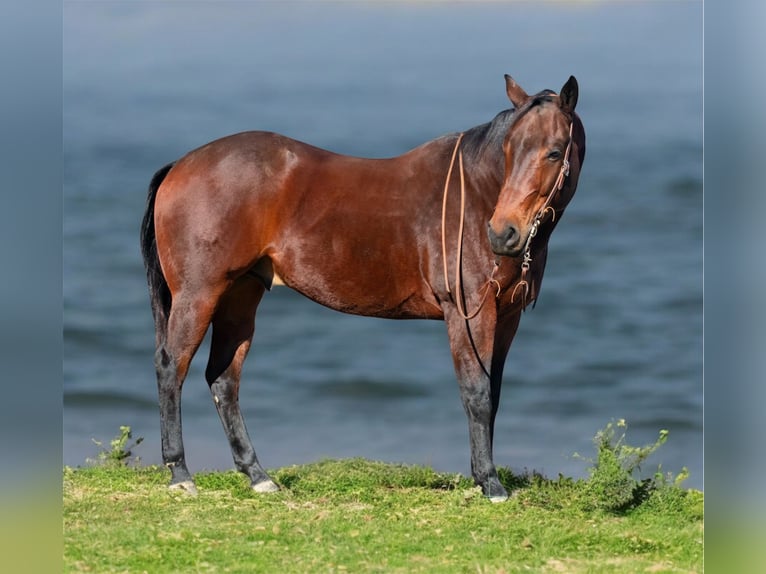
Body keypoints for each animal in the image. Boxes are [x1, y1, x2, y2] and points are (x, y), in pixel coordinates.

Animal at [140, 74, 588, 502]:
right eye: (510, 148)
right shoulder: (467, 313)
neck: (475, 196)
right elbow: (476, 392)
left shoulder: (506, 317)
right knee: (170, 367)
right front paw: (490, 484)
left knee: (223, 379)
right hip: (199, 295)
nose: (503, 232)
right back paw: (180, 475)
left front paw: (482, 478)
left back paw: (258, 476)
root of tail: (181, 165)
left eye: (553, 152)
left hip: (239, 297)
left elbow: (493, 394)